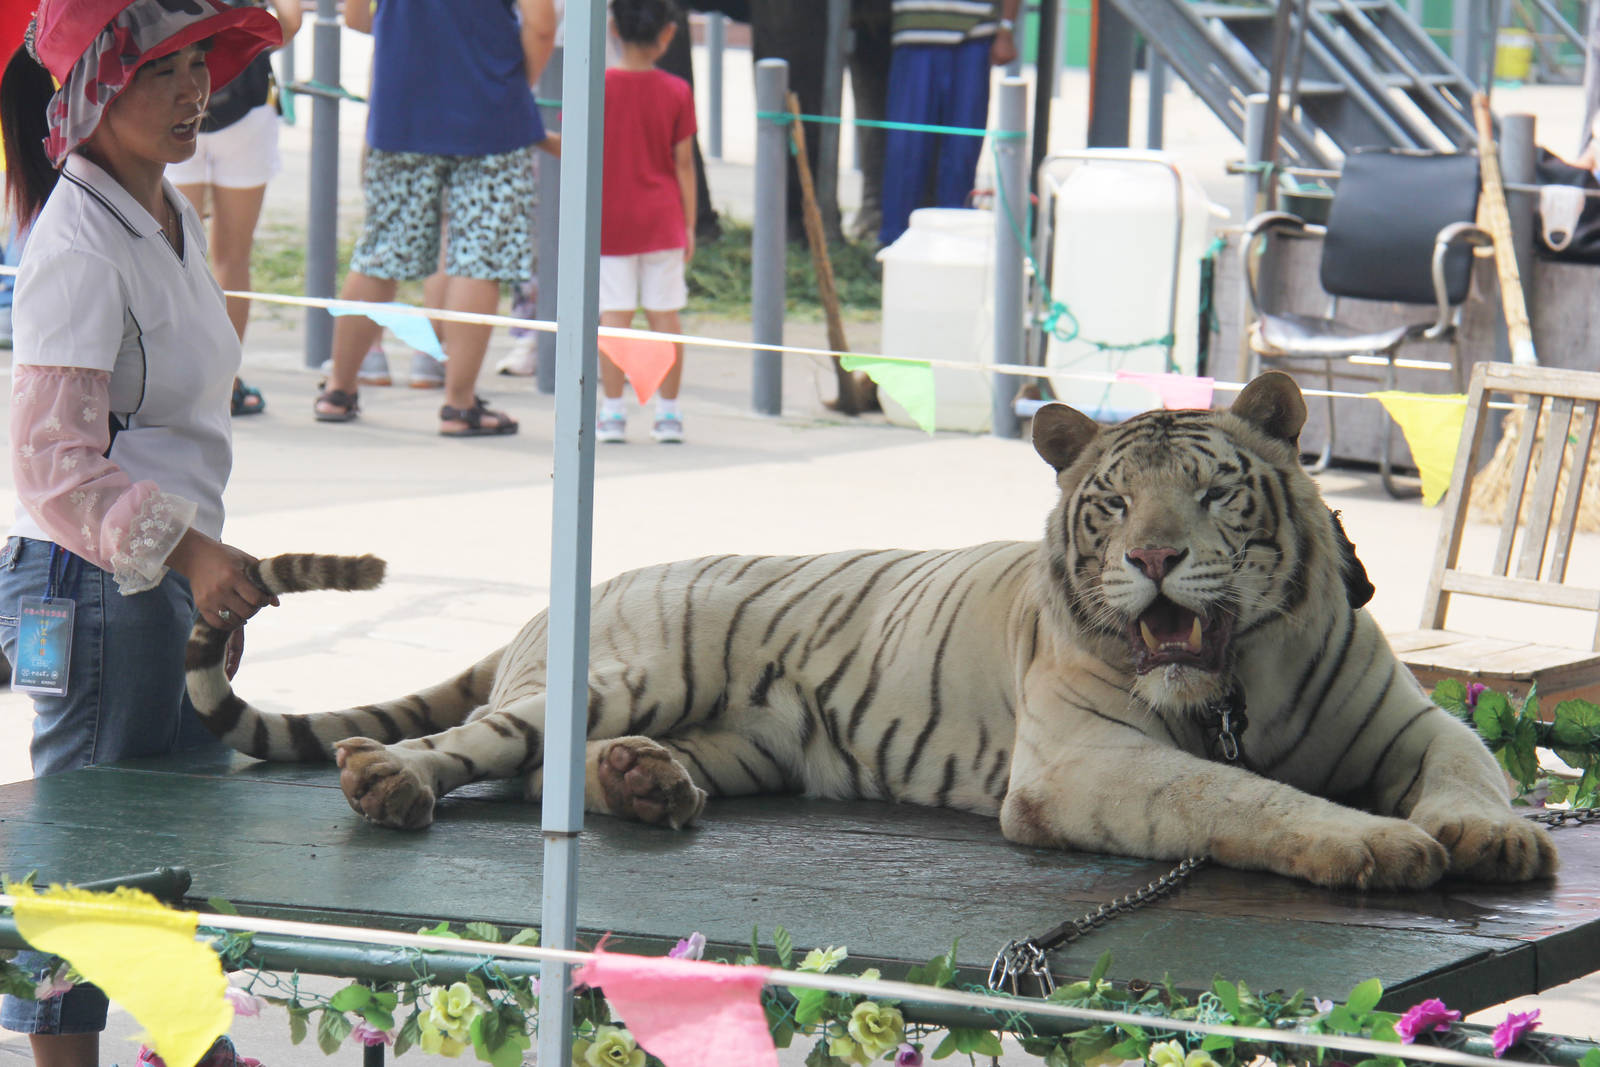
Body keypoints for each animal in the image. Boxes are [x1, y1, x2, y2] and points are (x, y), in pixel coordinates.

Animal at [188, 371, 1557, 890]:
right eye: (1114, 504)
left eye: (1214, 493)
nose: (1154, 558)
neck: (1234, 688)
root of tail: (570, 590)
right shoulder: (1087, 760)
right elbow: (1245, 798)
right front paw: (1376, 846)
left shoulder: (1407, 715)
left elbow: (1471, 765)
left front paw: (1491, 836)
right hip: (611, 673)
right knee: (465, 743)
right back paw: (389, 782)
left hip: (740, 738)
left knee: (553, 771)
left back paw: (646, 785)